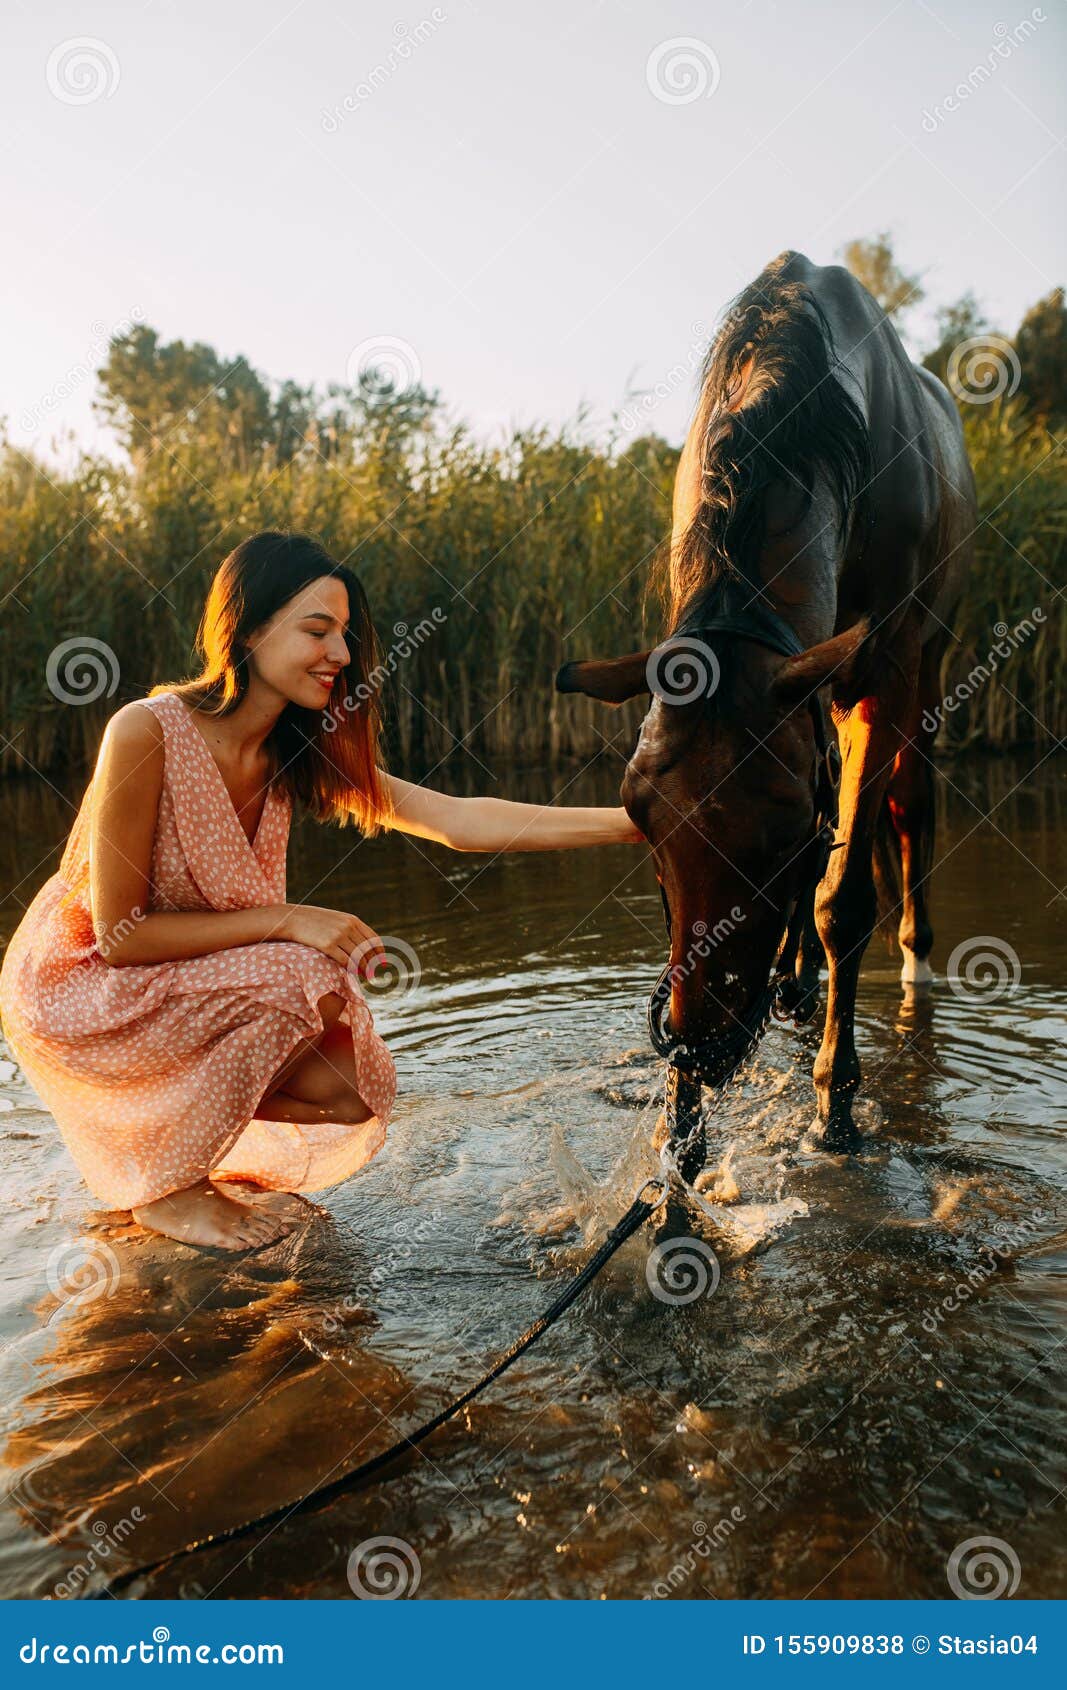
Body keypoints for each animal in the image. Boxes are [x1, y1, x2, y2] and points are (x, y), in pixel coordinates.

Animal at [558, 246, 973, 1149]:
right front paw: (679, 1130)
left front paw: (834, 1103)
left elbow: (842, 898)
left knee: (904, 811)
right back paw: (792, 980)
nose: (697, 1043)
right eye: (639, 818)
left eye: (780, 829)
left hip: (924, 666)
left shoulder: (884, 668)